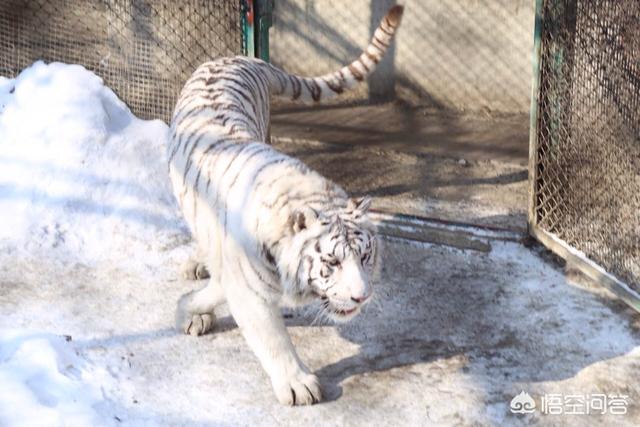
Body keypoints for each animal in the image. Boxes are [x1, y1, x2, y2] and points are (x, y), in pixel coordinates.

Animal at [169, 5, 404, 405]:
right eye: (332, 262)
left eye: (365, 256)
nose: (361, 298)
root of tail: (242, 57)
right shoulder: (248, 287)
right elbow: (273, 340)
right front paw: (298, 385)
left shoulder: (239, 277)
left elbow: (217, 289)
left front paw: (190, 308)